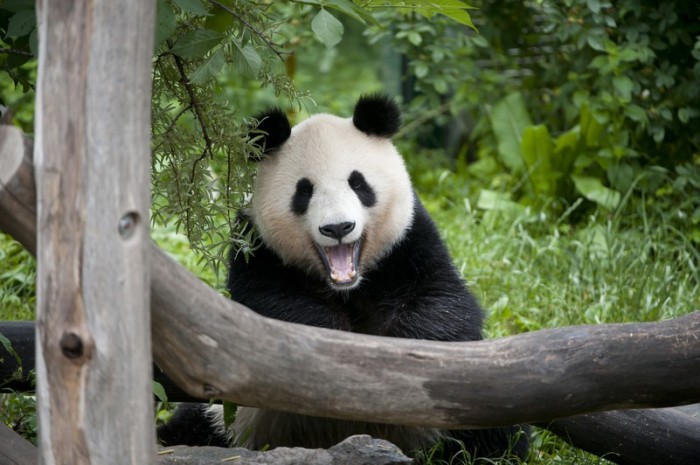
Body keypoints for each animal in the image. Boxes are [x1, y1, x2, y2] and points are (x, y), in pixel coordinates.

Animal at [157, 94, 529, 461]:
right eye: (304, 191)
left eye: (358, 183)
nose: (337, 228)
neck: (347, 286)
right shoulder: (256, 249)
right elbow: (273, 316)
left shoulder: (409, 240)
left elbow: (442, 303)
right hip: (233, 421)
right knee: (194, 425)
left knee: (494, 433)